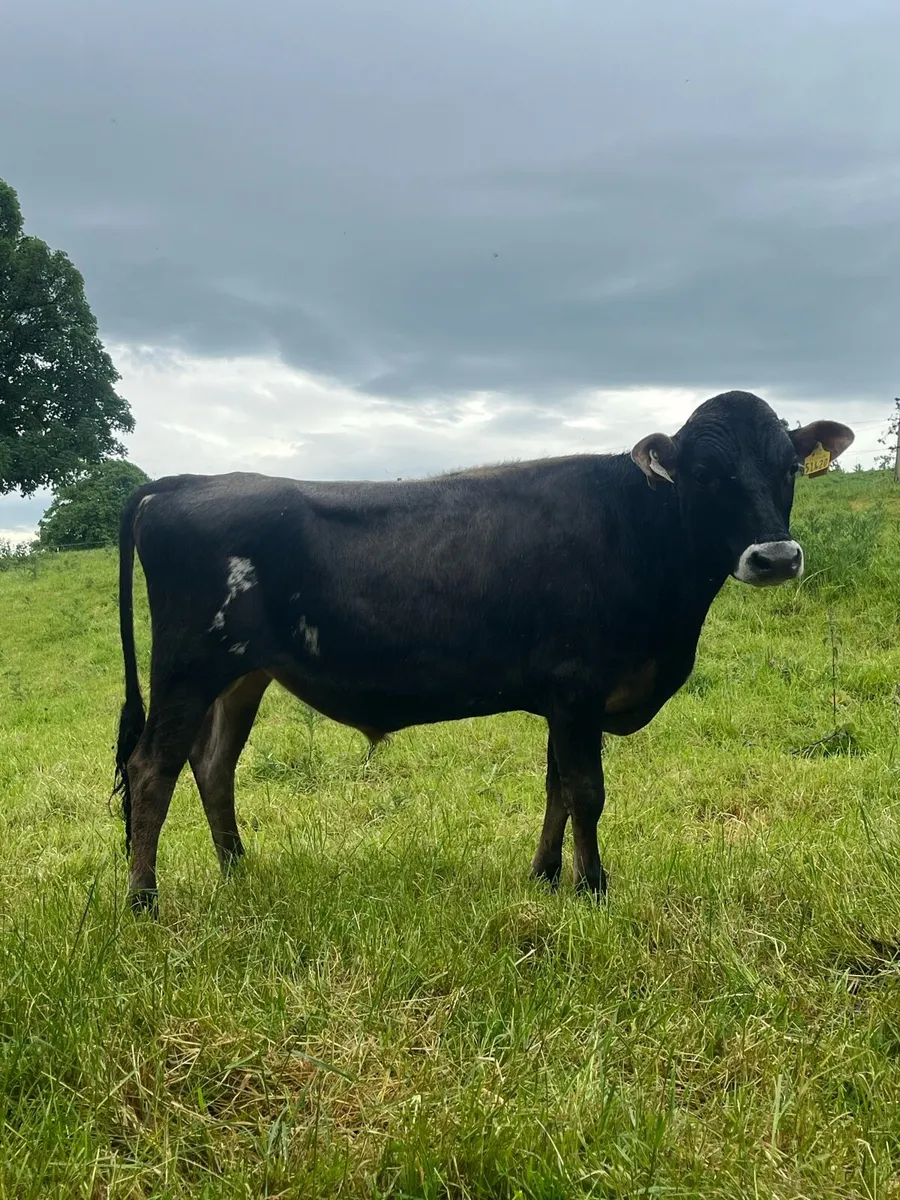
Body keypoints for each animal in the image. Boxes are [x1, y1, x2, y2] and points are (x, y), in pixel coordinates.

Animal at [113, 391, 853, 914]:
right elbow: (587, 792)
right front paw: (594, 888)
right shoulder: (579, 687)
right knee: (153, 769)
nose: (775, 557)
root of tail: (180, 482)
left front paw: (546, 876)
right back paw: (145, 902)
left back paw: (238, 871)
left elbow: (557, 788)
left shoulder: (564, 700)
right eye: (704, 472)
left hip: (241, 676)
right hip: (188, 668)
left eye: (790, 467)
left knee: (212, 765)